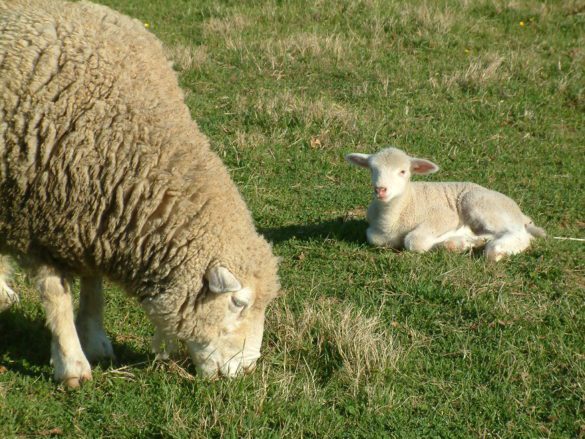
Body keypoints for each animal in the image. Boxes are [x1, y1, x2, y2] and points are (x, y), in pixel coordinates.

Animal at [0, 0, 280, 388]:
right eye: (238, 303)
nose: (246, 370)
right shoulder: (34, 221)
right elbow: (57, 296)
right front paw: (72, 364)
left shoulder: (88, 220)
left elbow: (93, 285)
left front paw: (96, 340)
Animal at [344, 147, 544, 262]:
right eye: (372, 169)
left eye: (403, 171)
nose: (381, 190)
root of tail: (520, 213)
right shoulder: (375, 234)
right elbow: (374, 238)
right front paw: (462, 242)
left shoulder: (444, 216)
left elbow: (414, 240)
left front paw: (456, 239)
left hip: (480, 204)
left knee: (521, 235)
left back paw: (496, 251)